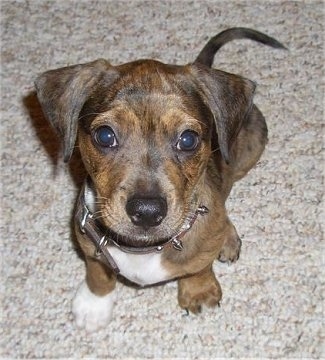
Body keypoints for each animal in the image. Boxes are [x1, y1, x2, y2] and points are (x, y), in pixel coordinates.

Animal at [34, 28, 284, 332]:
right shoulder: (88, 237)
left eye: (187, 139)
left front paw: (198, 290)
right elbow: (98, 271)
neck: (143, 249)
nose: (146, 212)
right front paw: (94, 304)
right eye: (105, 136)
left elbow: (199, 266)